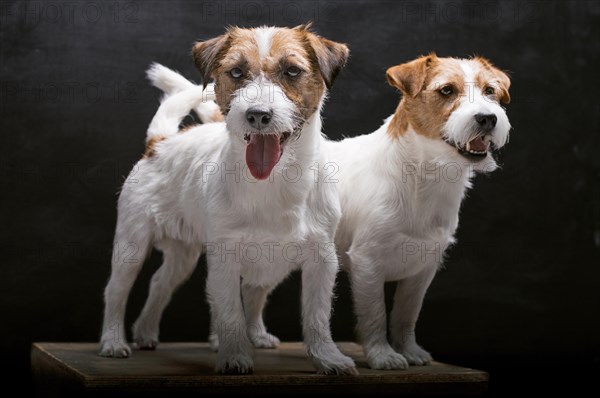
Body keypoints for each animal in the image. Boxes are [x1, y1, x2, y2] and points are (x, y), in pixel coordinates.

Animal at [97, 26, 356, 374]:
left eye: (292, 71)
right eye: (236, 72)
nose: (258, 115)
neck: (273, 182)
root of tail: (160, 143)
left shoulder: (321, 258)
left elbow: (316, 314)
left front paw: (327, 357)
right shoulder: (224, 257)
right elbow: (231, 310)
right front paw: (234, 357)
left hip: (190, 256)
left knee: (165, 284)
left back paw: (152, 332)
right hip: (132, 246)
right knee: (117, 291)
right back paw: (113, 341)